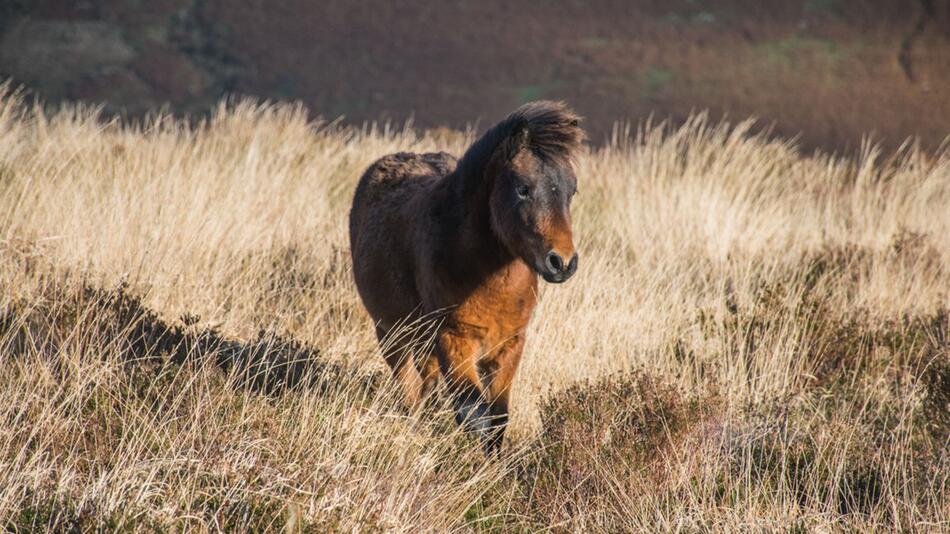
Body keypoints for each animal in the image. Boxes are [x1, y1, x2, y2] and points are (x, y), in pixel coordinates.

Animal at [352, 101, 588, 456]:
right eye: (523, 189)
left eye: (571, 191)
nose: (562, 262)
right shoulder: (454, 338)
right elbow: (474, 414)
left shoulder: (510, 344)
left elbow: (498, 417)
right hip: (391, 333)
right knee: (409, 392)